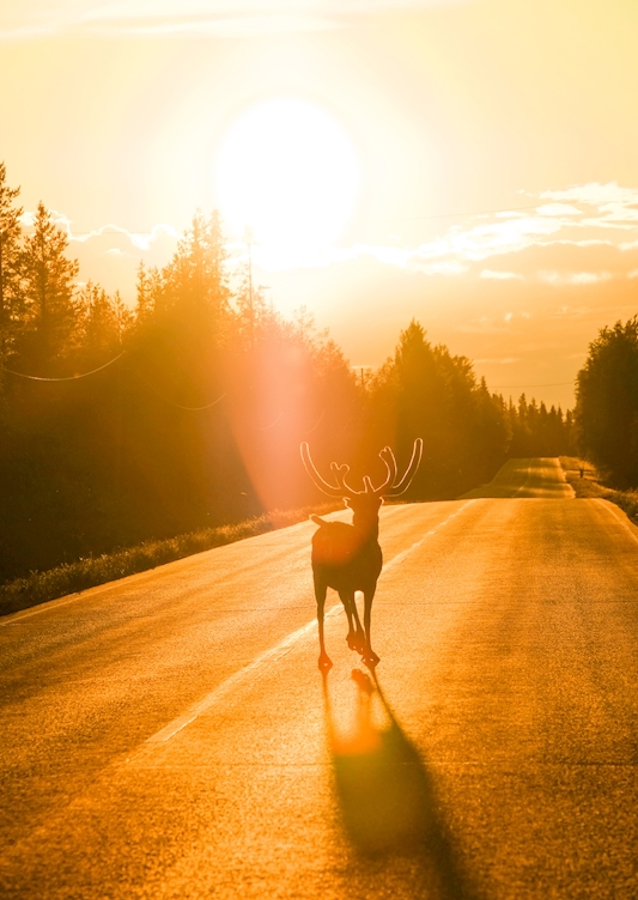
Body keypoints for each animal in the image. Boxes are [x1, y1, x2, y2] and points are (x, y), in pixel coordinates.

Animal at [300, 438, 423, 670]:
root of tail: (326, 530)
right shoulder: (368, 581)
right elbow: (364, 614)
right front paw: (367, 648)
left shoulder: (354, 583)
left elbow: (353, 608)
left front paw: (357, 639)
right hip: (336, 575)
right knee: (339, 608)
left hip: (321, 575)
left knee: (323, 611)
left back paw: (326, 655)